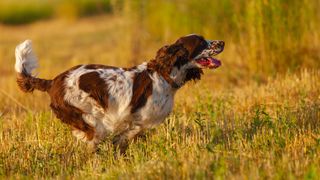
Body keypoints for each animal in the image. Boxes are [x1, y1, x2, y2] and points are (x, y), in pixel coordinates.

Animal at [15, 34, 225, 153]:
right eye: (201, 42)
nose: (222, 42)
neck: (164, 75)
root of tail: (53, 82)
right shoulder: (137, 118)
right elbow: (131, 131)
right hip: (89, 118)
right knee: (92, 139)